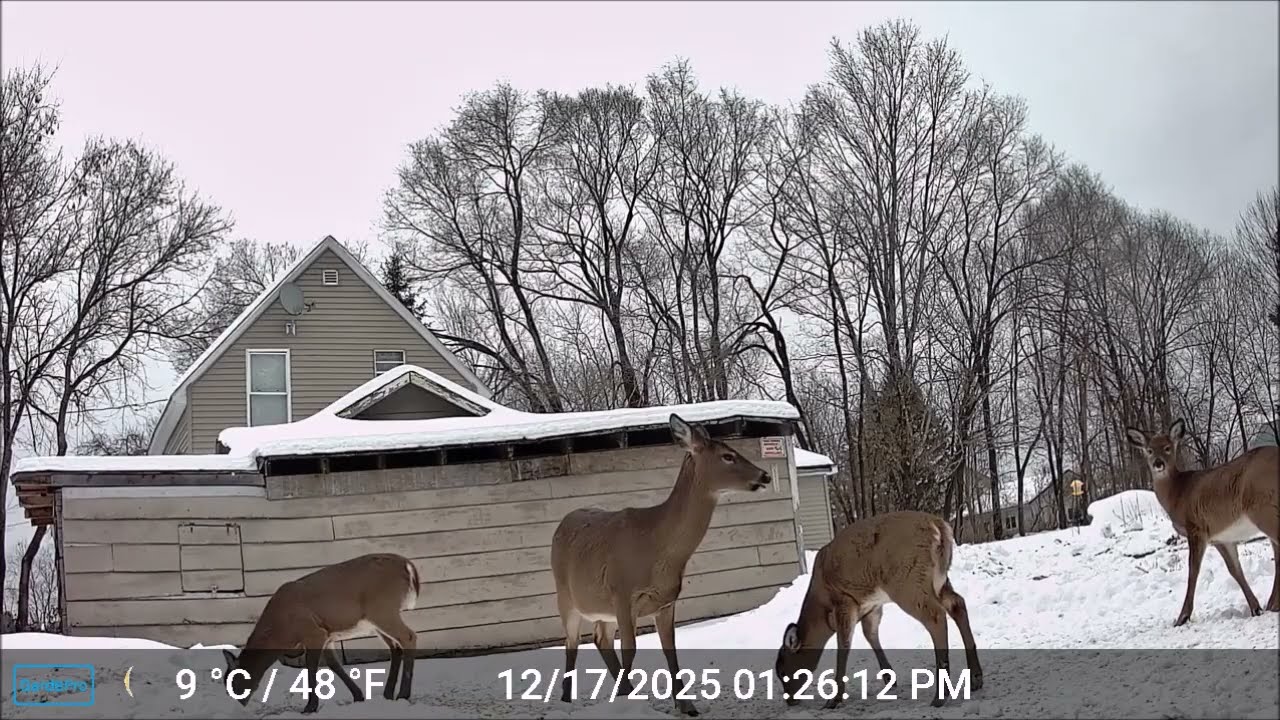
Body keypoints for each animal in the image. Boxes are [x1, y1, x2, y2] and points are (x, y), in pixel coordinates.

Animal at [221, 553, 420, 714]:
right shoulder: (327, 635)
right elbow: (334, 665)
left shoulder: (313, 632)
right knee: (396, 647)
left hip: (382, 609)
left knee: (409, 637)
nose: (237, 704)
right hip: (376, 619)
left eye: (233, 682)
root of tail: (408, 566)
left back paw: (403, 694)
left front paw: (310, 707)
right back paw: (388, 694)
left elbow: (311, 668)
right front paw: (358, 696)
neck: (280, 633)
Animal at [550, 413, 774, 717]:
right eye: (728, 456)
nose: (765, 476)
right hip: (566, 596)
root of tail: (562, 523)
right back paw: (567, 700)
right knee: (571, 643)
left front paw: (687, 705)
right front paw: (629, 705)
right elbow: (631, 648)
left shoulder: (666, 601)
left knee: (600, 638)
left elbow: (671, 649)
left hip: (602, 608)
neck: (658, 547)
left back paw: (622, 690)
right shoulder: (623, 592)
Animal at [774, 510, 983, 710]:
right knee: (957, 604)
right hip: (938, 580)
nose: (789, 700)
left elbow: (844, 644)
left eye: (782, 670)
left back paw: (940, 696)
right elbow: (870, 635)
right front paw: (890, 678)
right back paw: (975, 679)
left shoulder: (845, 601)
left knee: (936, 616)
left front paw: (834, 699)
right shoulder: (872, 605)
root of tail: (939, 527)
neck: (822, 608)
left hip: (907, 581)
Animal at [1125, 418, 1280, 626]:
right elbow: (1235, 570)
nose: (1158, 463)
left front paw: (1182, 617)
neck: (1177, 493)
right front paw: (1255, 608)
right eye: (1149, 450)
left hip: (1262, 507)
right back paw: (1272, 604)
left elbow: (1193, 570)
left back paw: (1273, 604)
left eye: (1167, 448)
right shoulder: (1220, 537)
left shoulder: (1196, 528)